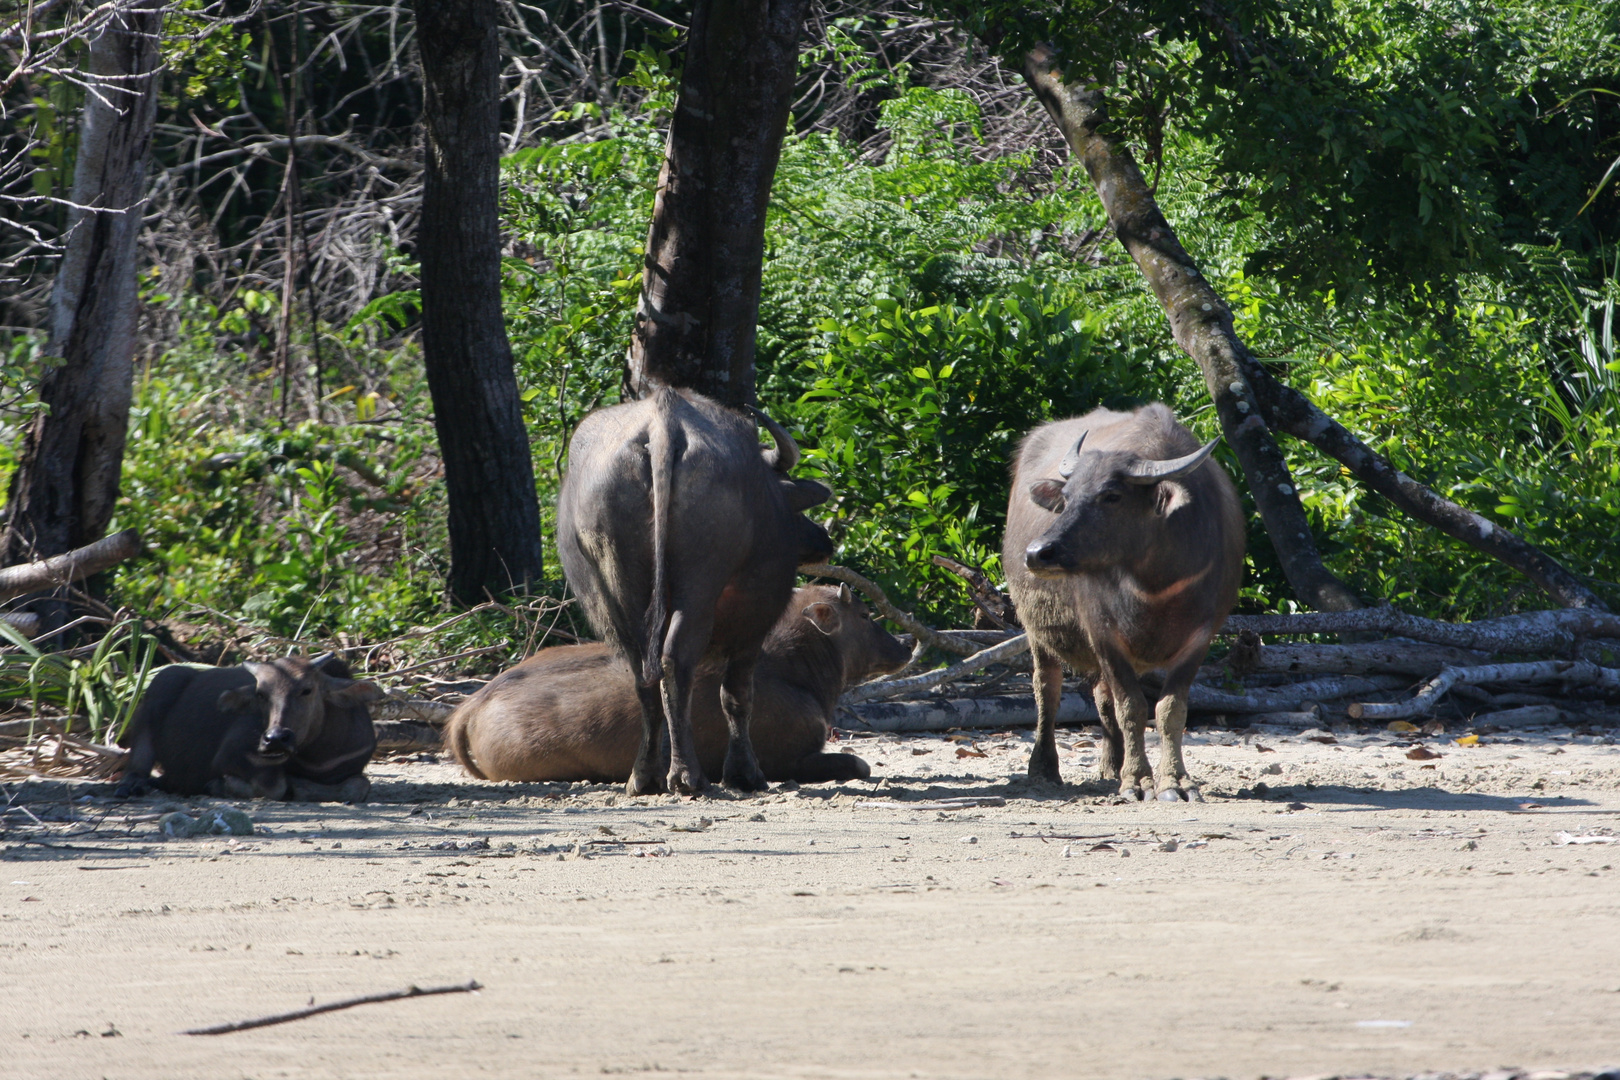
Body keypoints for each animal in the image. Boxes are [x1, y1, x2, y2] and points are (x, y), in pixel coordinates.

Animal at [115, 650, 387, 803]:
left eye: (307, 689)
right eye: (261, 693)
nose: (275, 739)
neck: (315, 756)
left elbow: (358, 787)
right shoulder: (231, 757)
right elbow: (275, 786)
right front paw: (219, 786)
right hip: (161, 685)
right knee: (136, 765)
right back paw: (134, 785)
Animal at [443, 582, 913, 786]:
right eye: (865, 615)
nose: (906, 644)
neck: (804, 672)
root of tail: (468, 707)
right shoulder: (789, 757)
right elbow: (859, 763)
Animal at [560, 388, 835, 793]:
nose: (823, 540)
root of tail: (662, 426)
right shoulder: (755, 621)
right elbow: (736, 694)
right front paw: (744, 772)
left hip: (621, 593)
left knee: (644, 673)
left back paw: (646, 776)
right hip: (700, 589)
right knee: (677, 660)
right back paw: (687, 775)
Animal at [1004, 404, 1244, 803]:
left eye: (1112, 496)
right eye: (1066, 497)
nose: (1038, 553)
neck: (1154, 581)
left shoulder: (1201, 636)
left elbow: (1169, 709)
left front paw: (1176, 782)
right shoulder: (1103, 634)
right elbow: (1131, 706)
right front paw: (1138, 782)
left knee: (1102, 698)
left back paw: (1111, 765)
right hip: (1036, 628)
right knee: (1047, 689)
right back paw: (1044, 768)